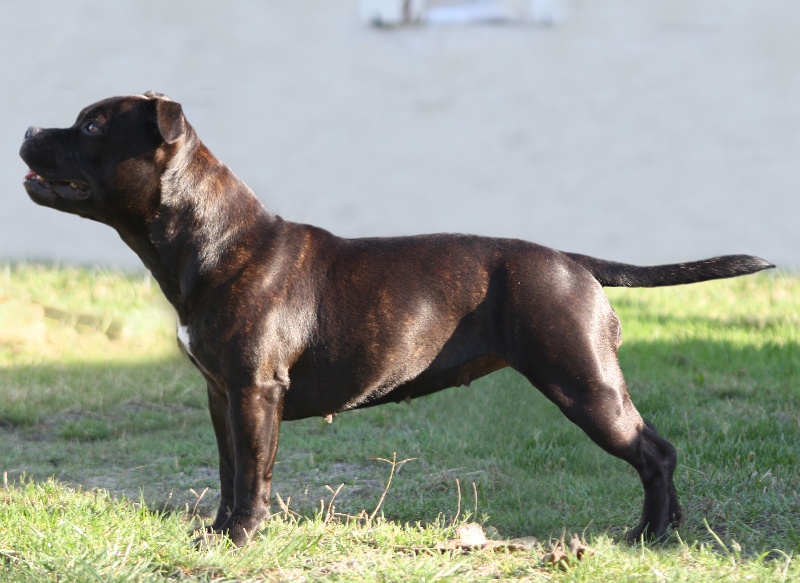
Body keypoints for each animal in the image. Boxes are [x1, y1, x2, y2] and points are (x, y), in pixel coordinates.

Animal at [21, 91, 776, 548]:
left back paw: (648, 534)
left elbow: (254, 473)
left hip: (584, 384)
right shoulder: (221, 393)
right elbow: (231, 469)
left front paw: (240, 538)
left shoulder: (254, 391)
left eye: (91, 125)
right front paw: (214, 531)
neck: (211, 238)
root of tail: (570, 260)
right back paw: (665, 531)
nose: (27, 126)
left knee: (654, 451)